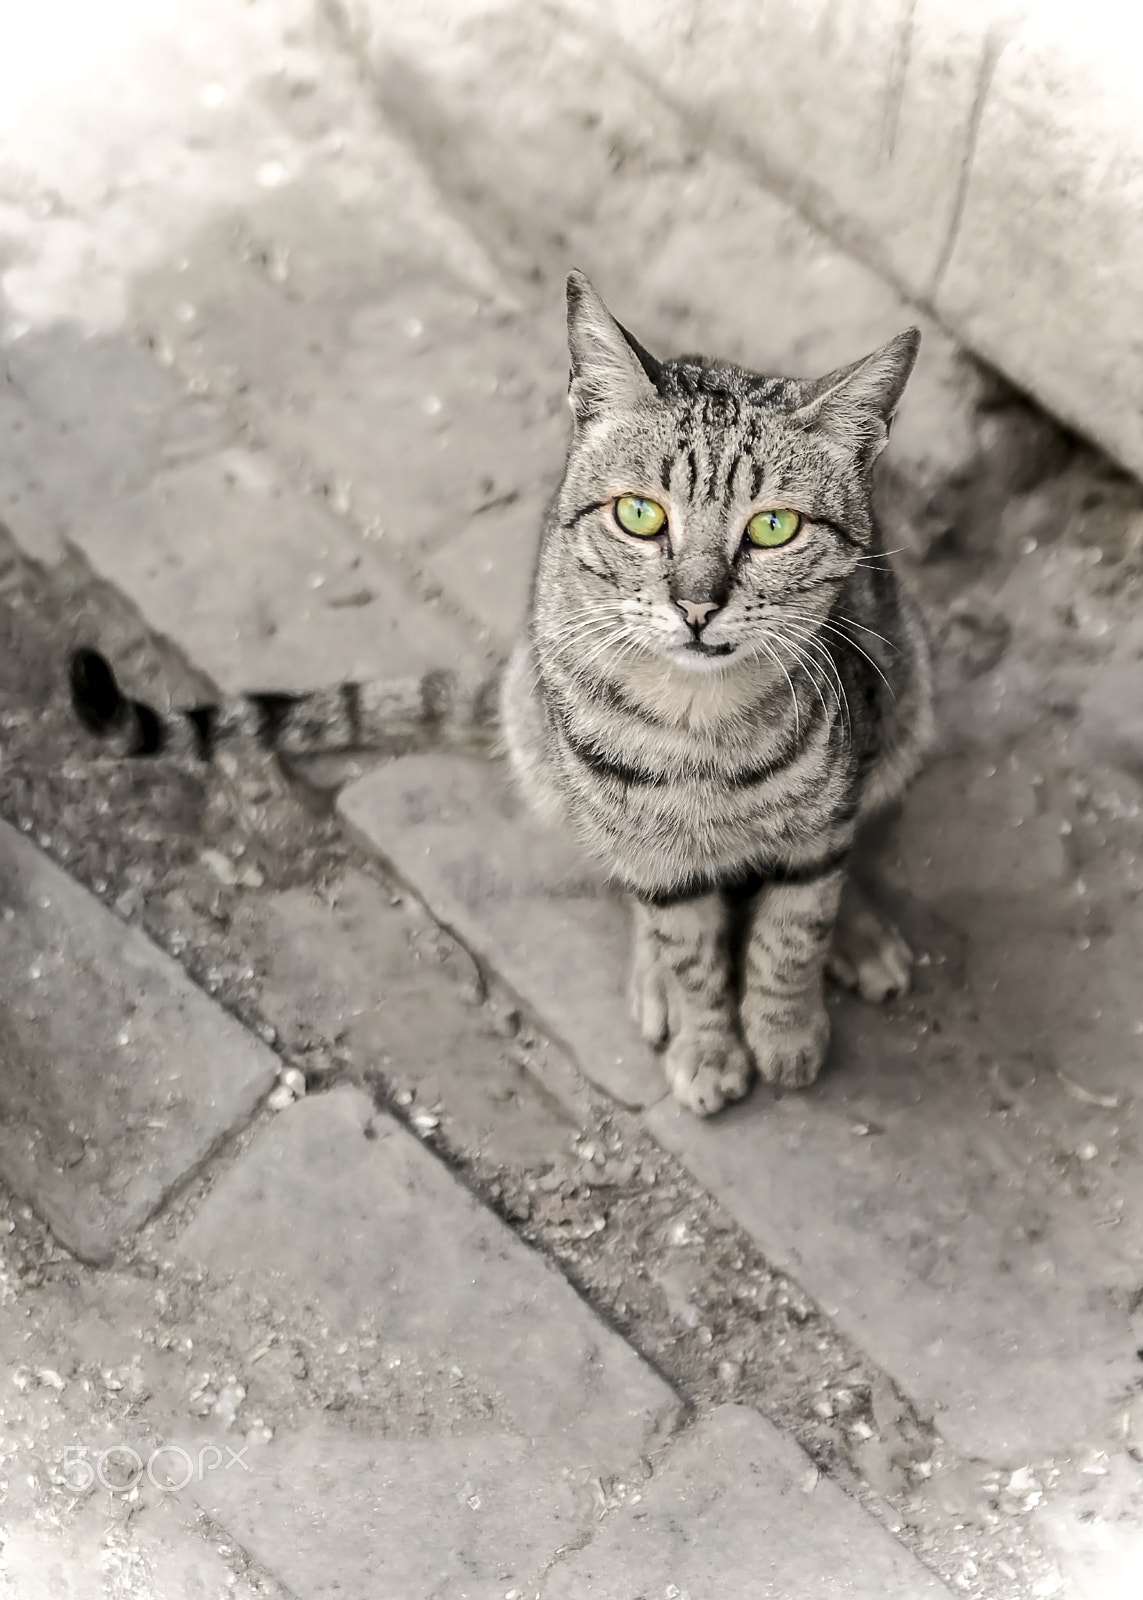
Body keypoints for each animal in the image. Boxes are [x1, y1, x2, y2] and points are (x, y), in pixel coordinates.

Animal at [68, 272, 928, 1113]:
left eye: (773, 527)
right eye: (640, 515)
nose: (696, 604)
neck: (699, 721)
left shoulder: (822, 816)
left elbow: (794, 929)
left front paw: (785, 1029)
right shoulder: (645, 845)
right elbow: (688, 945)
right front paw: (708, 1039)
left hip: (908, 697)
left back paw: (858, 934)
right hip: (550, 759)